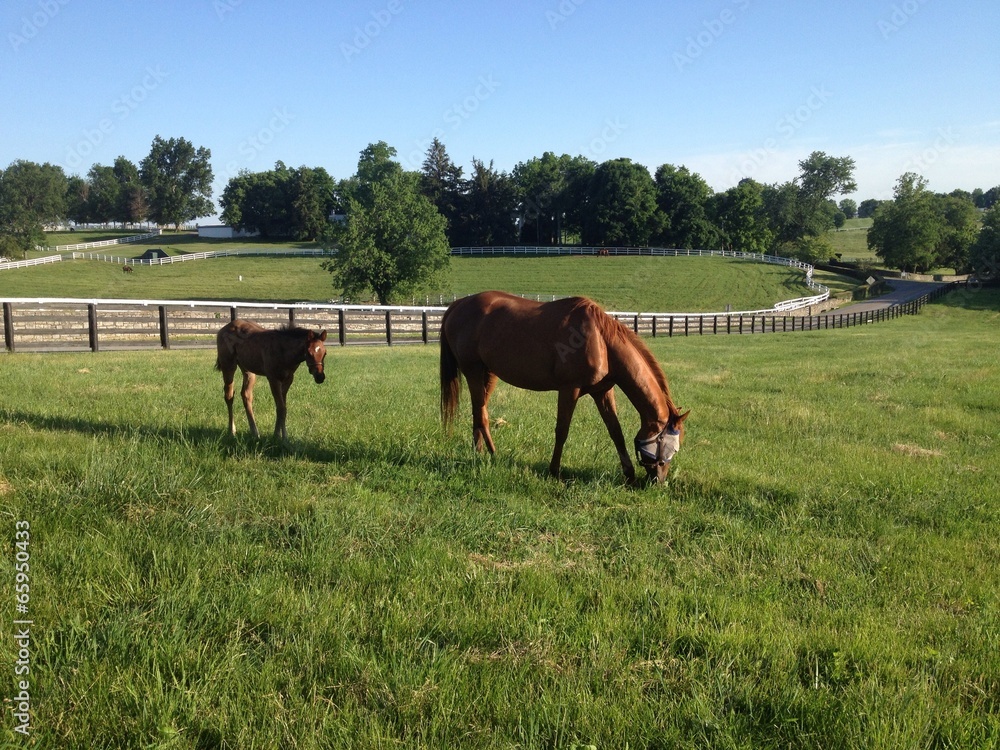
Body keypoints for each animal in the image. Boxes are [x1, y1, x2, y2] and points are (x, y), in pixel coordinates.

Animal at [440, 291, 689, 484]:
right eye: (671, 447)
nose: (659, 480)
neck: (601, 340)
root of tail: (458, 304)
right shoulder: (570, 389)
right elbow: (562, 431)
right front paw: (554, 471)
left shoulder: (603, 392)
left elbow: (616, 432)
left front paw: (629, 474)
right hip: (472, 370)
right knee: (481, 415)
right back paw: (494, 454)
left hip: (489, 374)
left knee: (478, 413)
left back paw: (479, 453)